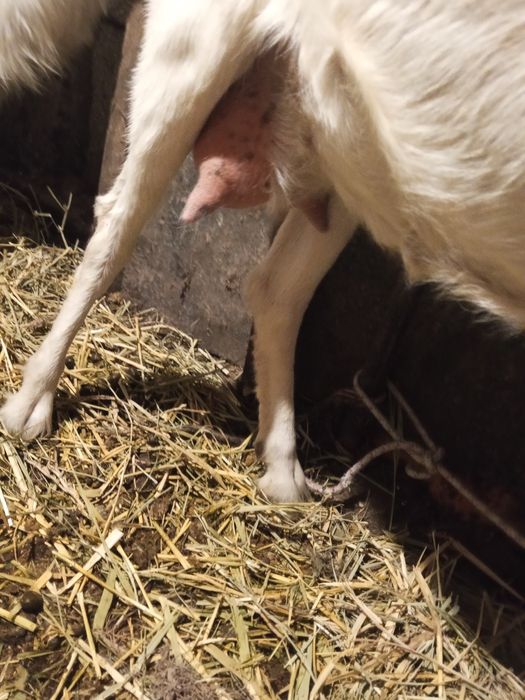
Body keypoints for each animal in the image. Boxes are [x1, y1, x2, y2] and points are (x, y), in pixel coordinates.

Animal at [2, 0, 525, 503]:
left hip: (348, 153)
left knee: (278, 288)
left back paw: (283, 470)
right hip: (194, 54)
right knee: (116, 226)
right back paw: (31, 403)